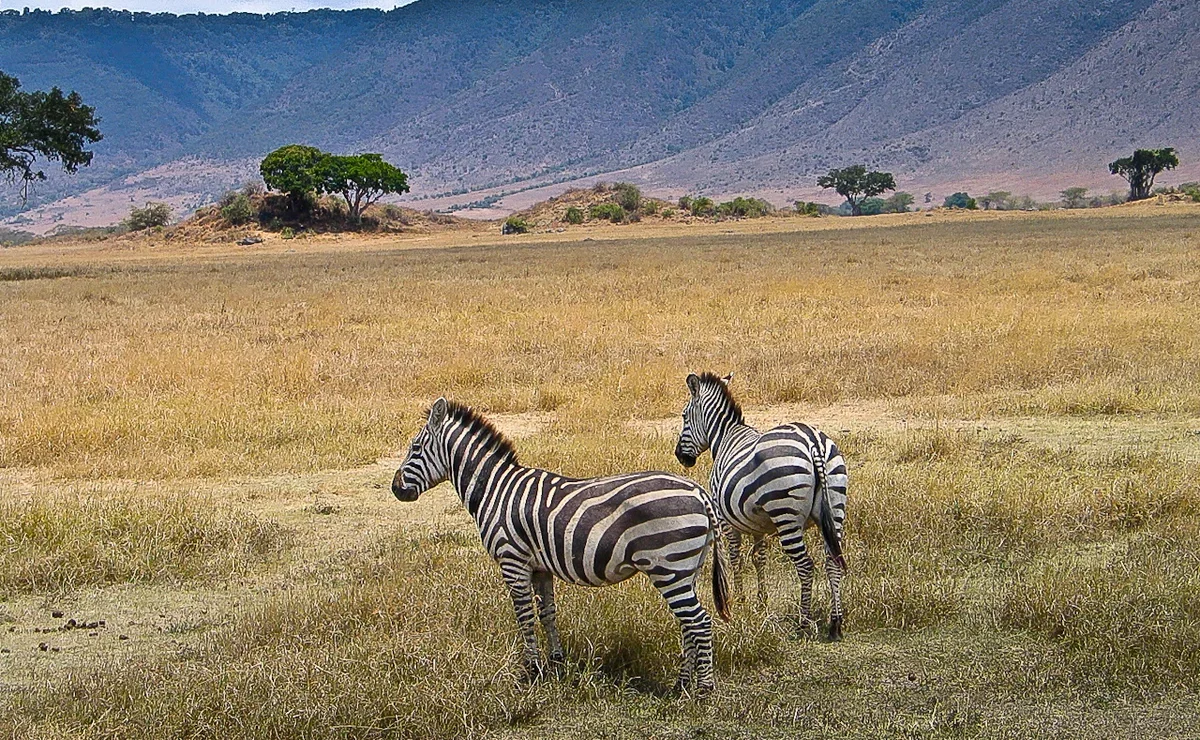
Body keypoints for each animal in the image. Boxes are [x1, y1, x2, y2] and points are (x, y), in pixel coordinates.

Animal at [393, 398, 729, 690]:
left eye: (414, 448)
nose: (396, 489)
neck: (495, 490)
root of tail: (698, 491)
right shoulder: (540, 567)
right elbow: (548, 613)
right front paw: (555, 663)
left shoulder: (512, 561)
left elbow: (525, 617)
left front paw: (530, 671)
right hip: (686, 568)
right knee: (688, 624)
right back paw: (681, 684)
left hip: (669, 567)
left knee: (700, 622)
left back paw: (703, 689)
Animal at [672, 371, 849, 638]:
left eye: (684, 416)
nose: (680, 457)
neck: (725, 437)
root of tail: (813, 442)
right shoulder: (758, 525)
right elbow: (759, 558)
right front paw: (761, 602)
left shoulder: (725, 520)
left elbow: (736, 558)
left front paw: (741, 601)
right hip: (835, 506)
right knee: (833, 562)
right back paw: (835, 623)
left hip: (786, 514)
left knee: (806, 566)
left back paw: (803, 622)